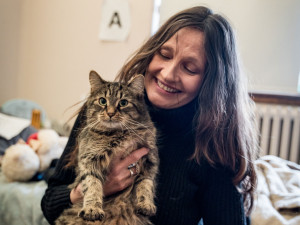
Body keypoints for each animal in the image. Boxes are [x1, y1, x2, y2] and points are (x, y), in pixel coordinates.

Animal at [55, 71, 158, 225]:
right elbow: (92, 184)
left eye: (123, 103)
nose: (110, 113)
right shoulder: (89, 160)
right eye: (103, 101)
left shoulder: (149, 160)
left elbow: (146, 185)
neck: (118, 134)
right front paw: (92, 209)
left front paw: (146, 204)